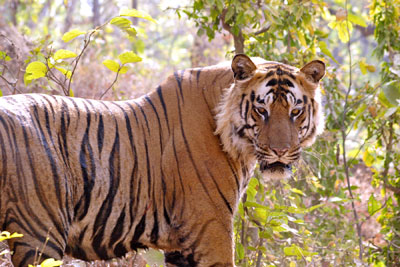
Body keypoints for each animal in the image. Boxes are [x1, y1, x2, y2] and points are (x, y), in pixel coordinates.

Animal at [0, 55, 324, 267]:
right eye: (261, 110)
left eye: (295, 112)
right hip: (40, 231)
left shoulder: (181, 247)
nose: (280, 151)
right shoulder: (211, 228)